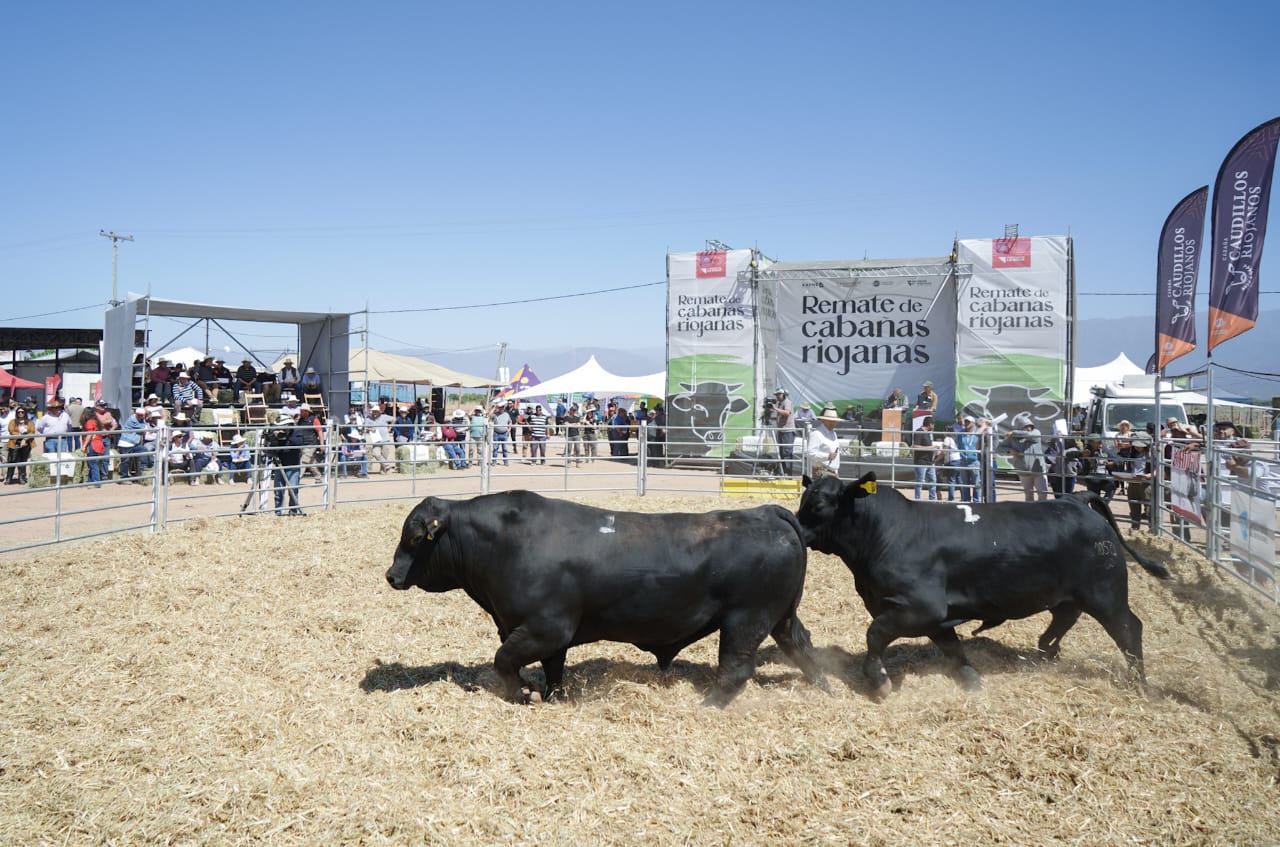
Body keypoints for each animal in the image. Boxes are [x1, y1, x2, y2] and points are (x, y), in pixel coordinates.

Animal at [386, 491, 829, 711]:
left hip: (746, 620)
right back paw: (825, 689)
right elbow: (554, 671)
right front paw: (551, 697)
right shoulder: (549, 635)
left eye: (414, 537)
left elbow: (504, 660)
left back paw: (707, 705)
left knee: (736, 670)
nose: (391, 575)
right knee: (803, 646)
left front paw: (523, 694)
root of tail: (766, 512)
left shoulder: (545, 627)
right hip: (780, 617)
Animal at [798, 473, 1172, 701]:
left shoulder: (920, 607)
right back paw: (1045, 652)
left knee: (1128, 629)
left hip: (1106, 593)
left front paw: (879, 680)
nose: (796, 529)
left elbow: (875, 634)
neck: (884, 532)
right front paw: (971, 679)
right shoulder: (935, 616)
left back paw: (1139, 682)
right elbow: (952, 648)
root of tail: (1076, 500)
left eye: (817, 505)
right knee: (1065, 618)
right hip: (1070, 595)